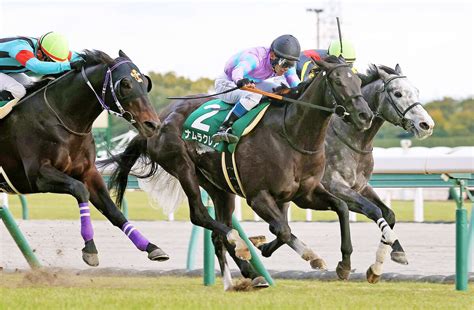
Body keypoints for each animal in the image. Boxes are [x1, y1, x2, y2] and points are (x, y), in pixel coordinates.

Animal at [0, 50, 168, 266]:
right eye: (125, 83)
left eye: (145, 83)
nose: (152, 124)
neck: (63, 118)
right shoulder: (38, 175)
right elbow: (80, 190)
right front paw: (90, 249)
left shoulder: (89, 172)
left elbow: (113, 211)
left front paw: (151, 247)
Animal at [103, 56, 374, 290]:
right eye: (337, 80)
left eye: (358, 80)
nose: (365, 115)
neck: (292, 134)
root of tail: (158, 119)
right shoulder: (258, 196)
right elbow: (283, 229)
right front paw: (311, 255)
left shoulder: (305, 193)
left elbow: (340, 208)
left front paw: (345, 265)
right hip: (182, 166)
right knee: (201, 216)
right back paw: (241, 249)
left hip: (218, 187)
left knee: (218, 231)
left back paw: (249, 274)